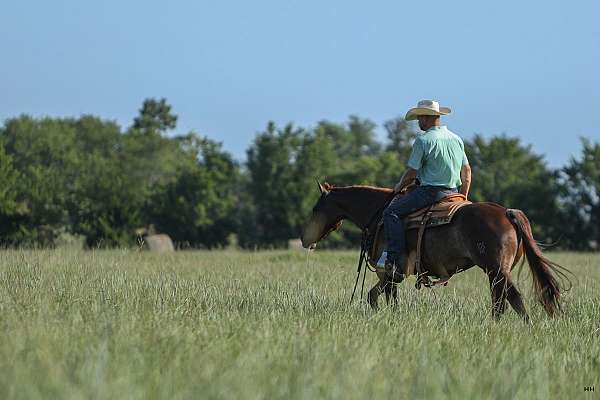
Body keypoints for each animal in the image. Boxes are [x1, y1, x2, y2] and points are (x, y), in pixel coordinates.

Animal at [302, 182, 568, 322]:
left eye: (315, 208)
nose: (305, 240)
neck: (380, 215)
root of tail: (507, 212)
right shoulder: (390, 276)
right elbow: (381, 297)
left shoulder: (387, 272)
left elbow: (378, 296)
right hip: (497, 272)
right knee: (500, 300)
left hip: (496, 269)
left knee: (512, 297)